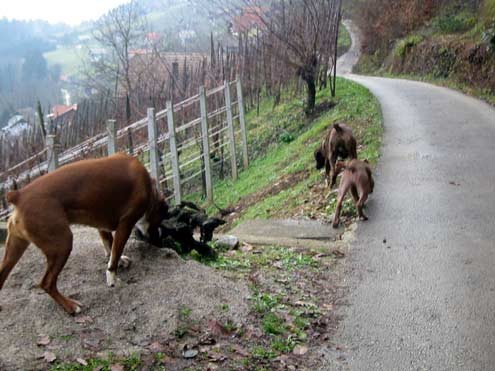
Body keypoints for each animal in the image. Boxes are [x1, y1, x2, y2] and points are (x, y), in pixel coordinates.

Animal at [0, 153, 169, 314]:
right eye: (160, 220)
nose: (158, 240)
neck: (149, 187)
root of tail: (18, 195)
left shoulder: (102, 226)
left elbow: (110, 246)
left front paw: (119, 261)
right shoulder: (125, 224)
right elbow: (115, 253)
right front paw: (112, 278)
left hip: (16, 247)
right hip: (63, 244)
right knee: (47, 283)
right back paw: (70, 306)